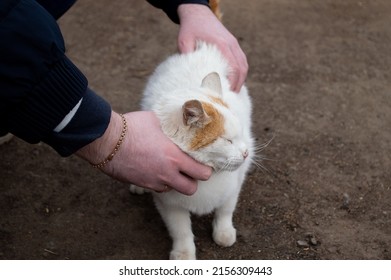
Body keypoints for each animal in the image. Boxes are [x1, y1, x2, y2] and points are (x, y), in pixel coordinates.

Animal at [131, 42, 254, 260]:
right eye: (227, 140)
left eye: (241, 135)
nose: (246, 153)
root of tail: (203, 50)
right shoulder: (169, 203)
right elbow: (180, 230)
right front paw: (184, 252)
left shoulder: (234, 184)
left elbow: (226, 209)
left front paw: (223, 230)